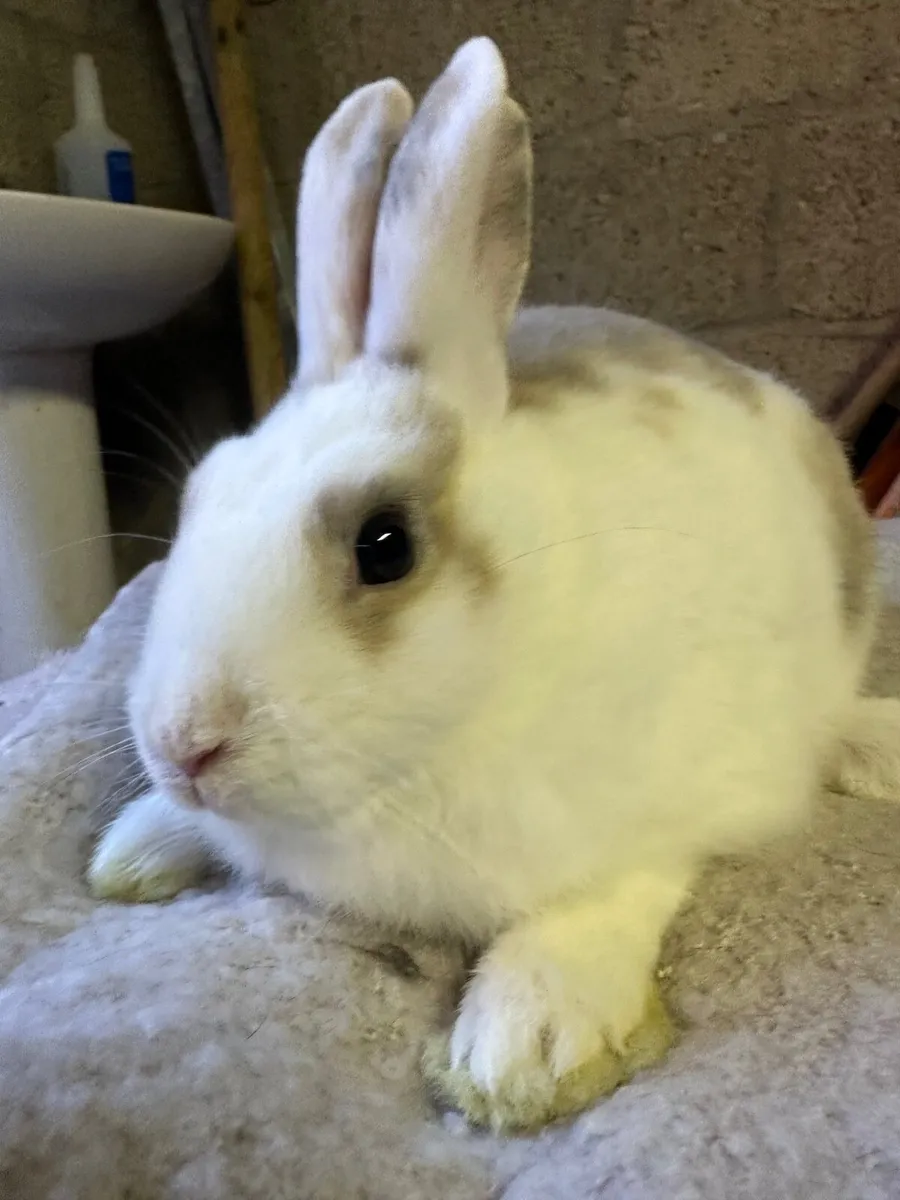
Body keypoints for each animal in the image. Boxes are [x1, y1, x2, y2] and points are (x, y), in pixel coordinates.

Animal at [88, 36, 890, 1134]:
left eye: (385, 546)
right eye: (200, 491)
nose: (182, 748)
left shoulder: (672, 808)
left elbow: (599, 898)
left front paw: (525, 1050)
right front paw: (136, 849)